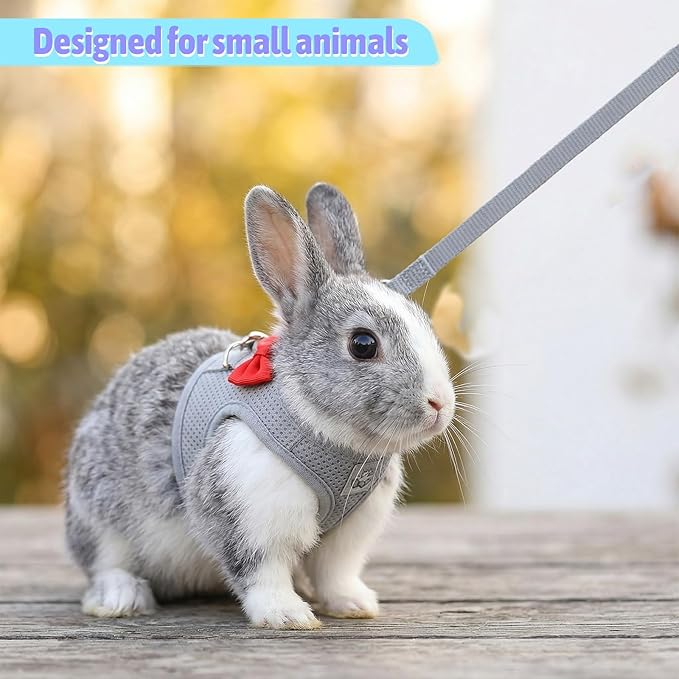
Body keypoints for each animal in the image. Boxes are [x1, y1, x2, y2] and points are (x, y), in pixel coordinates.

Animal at [64, 183, 456, 629]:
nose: (440, 403)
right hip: (101, 518)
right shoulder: (248, 510)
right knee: (106, 562)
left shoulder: (348, 534)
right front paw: (287, 615)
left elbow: (336, 572)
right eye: (363, 344)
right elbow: (259, 570)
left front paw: (354, 604)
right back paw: (121, 597)